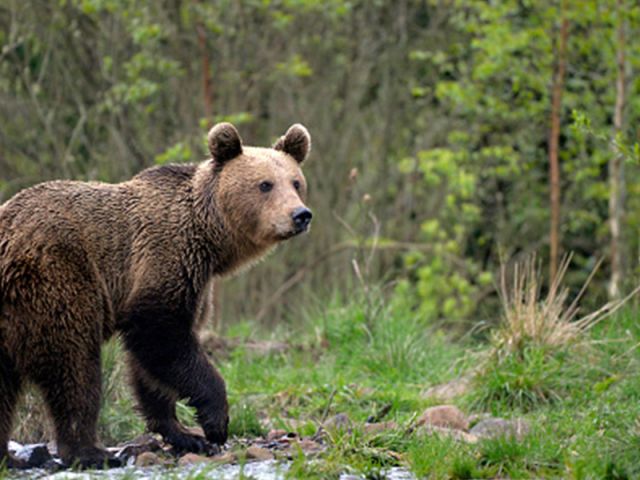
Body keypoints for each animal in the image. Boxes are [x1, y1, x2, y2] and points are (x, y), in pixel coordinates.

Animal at [0, 122, 312, 468]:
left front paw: (183, 433)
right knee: (74, 363)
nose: (300, 214)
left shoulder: (197, 282)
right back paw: (90, 451)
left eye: (296, 182)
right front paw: (215, 423)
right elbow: (161, 337)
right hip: (57, 277)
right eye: (265, 184)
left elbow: (151, 366)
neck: (209, 238)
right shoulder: (165, 259)